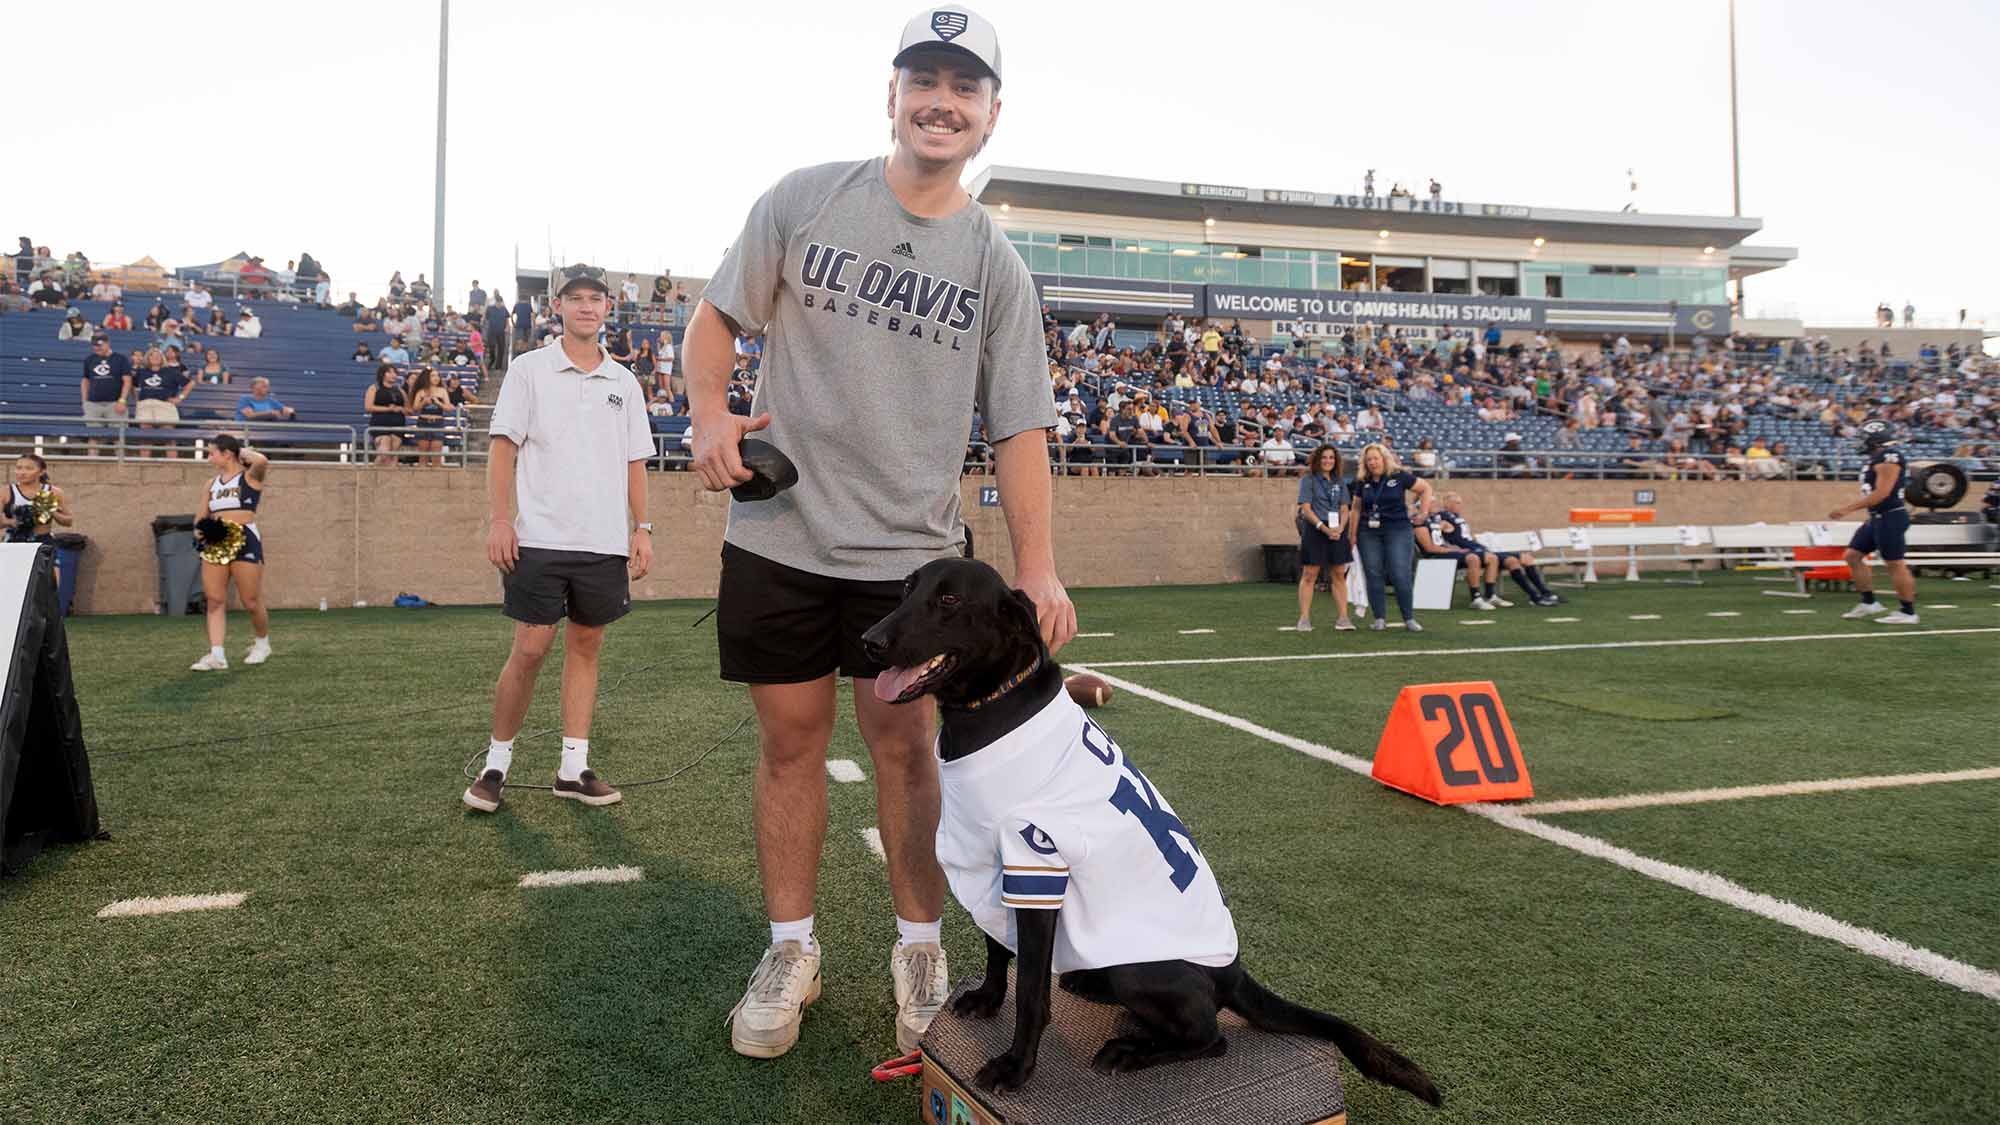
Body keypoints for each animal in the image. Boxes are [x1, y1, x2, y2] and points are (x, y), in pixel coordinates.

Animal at [856, 556, 1440, 1096]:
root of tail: (1234, 973)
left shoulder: (1035, 865)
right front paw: (986, 999)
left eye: (950, 600)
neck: (990, 706)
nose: (869, 642)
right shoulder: (995, 862)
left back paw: (1132, 1050)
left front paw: (1016, 1066)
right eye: (906, 588)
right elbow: (998, 948)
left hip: (1142, 969)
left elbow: (1031, 992)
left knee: (1211, 1038)